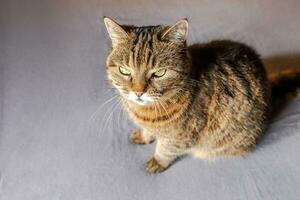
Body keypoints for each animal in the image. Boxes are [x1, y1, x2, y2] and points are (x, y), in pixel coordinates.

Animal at [103, 17, 300, 173]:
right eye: (124, 70)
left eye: (159, 73)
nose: (138, 91)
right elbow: (148, 131)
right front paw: (144, 136)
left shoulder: (181, 137)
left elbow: (166, 150)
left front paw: (158, 161)